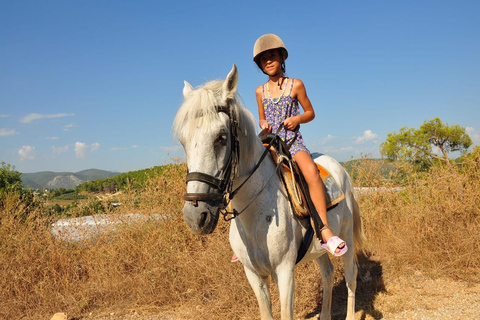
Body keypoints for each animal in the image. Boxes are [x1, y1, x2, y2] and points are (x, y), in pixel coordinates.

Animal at [174, 65, 366, 320]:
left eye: (221, 138)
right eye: (183, 141)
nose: (195, 216)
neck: (255, 213)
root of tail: (339, 167)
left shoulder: (285, 272)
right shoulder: (254, 275)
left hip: (346, 238)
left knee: (351, 276)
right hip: (319, 249)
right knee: (328, 273)